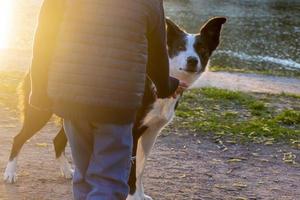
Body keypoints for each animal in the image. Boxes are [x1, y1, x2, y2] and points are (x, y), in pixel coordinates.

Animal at [3, 17, 225, 200]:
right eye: (180, 47)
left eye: (202, 50)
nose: (192, 60)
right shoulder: (132, 132)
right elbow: (132, 171)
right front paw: (133, 196)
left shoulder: (152, 133)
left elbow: (141, 169)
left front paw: (141, 195)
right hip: (39, 112)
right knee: (19, 138)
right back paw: (10, 173)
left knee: (57, 140)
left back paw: (67, 171)